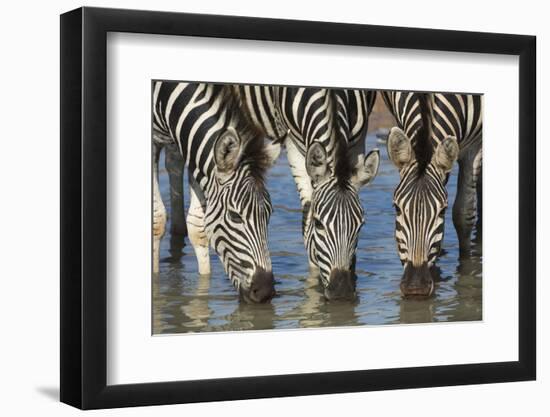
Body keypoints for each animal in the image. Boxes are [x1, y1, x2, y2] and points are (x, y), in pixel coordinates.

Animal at [152, 81, 282, 302]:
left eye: (269, 214)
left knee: (173, 162)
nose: (265, 292)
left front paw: (204, 288)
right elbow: (157, 219)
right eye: (235, 216)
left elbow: (197, 227)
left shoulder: (190, 146)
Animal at [233, 85, 380, 300]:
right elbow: (307, 220)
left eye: (360, 226)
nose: (342, 293)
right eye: (319, 224)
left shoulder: (359, 138)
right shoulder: (292, 144)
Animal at [384, 91, 484, 296]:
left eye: (442, 210)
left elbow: (463, 214)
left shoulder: (475, 145)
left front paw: (466, 273)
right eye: (397, 208)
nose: (415, 288)